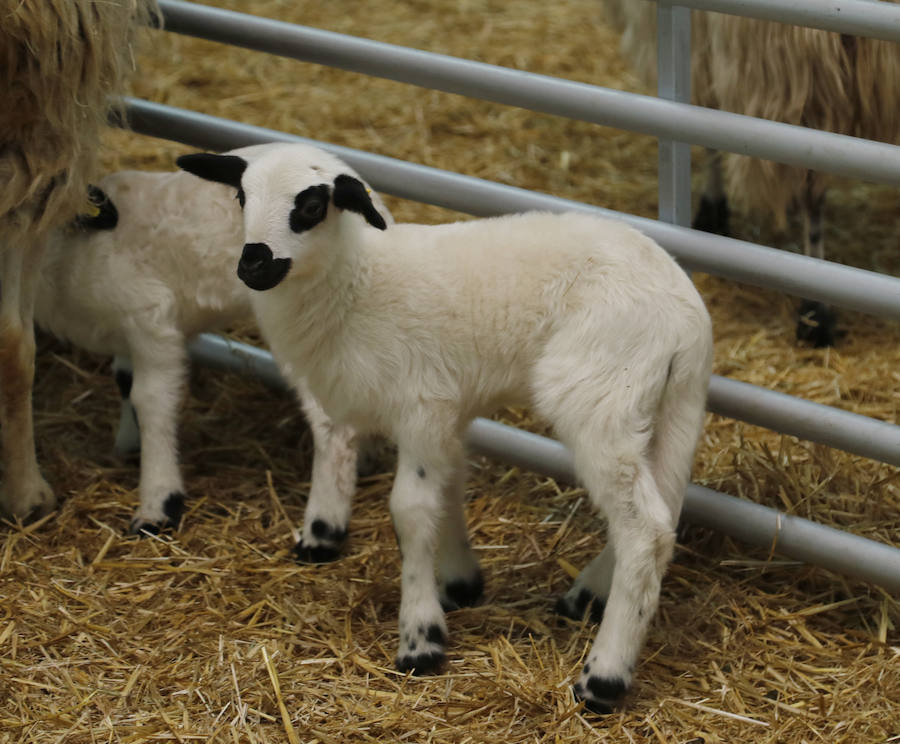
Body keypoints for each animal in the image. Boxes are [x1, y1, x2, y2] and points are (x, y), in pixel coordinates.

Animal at [34, 142, 390, 548]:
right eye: (241, 197)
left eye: (313, 207)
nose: (252, 265)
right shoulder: (125, 333)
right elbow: (125, 383)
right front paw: (128, 443)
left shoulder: (151, 321)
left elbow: (151, 401)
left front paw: (159, 504)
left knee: (331, 421)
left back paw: (322, 532)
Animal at [179, 141, 712, 716]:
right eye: (240, 195)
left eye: (312, 205)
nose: (253, 263)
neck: (359, 285)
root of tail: (688, 319)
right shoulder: (446, 410)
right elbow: (449, 486)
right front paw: (459, 581)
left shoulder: (421, 406)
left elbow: (410, 512)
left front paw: (421, 637)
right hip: (665, 409)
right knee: (661, 512)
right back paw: (590, 593)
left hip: (599, 397)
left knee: (645, 530)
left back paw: (603, 679)